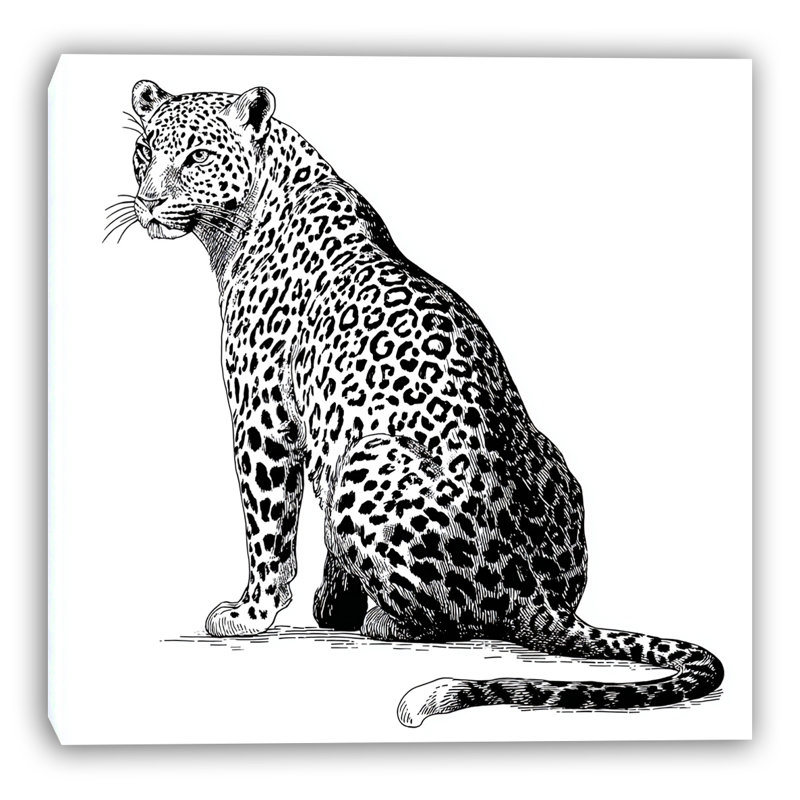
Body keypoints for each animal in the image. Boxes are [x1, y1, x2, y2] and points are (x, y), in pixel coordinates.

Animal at [119, 79, 724, 727]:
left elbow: (268, 530)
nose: (149, 204)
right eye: (145, 152)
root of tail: (545, 600)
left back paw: (382, 621)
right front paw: (330, 598)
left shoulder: (264, 420)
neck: (240, 227)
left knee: (447, 621)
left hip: (369, 458)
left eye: (196, 157)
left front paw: (251, 612)